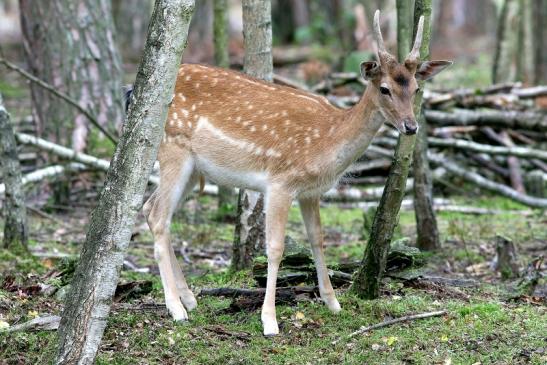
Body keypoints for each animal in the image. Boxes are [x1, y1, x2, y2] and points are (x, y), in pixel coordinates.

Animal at [142, 10, 454, 336]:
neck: (327, 141)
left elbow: (317, 239)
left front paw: (333, 303)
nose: (411, 126)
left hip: (193, 168)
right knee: (159, 217)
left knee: (151, 209)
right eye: (385, 89)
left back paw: (189, 299)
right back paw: (176, 309)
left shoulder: (311, 192)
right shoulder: (280, 182)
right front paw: (269, 320)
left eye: (416, 89)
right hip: (173, 148)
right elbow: (275, 247)